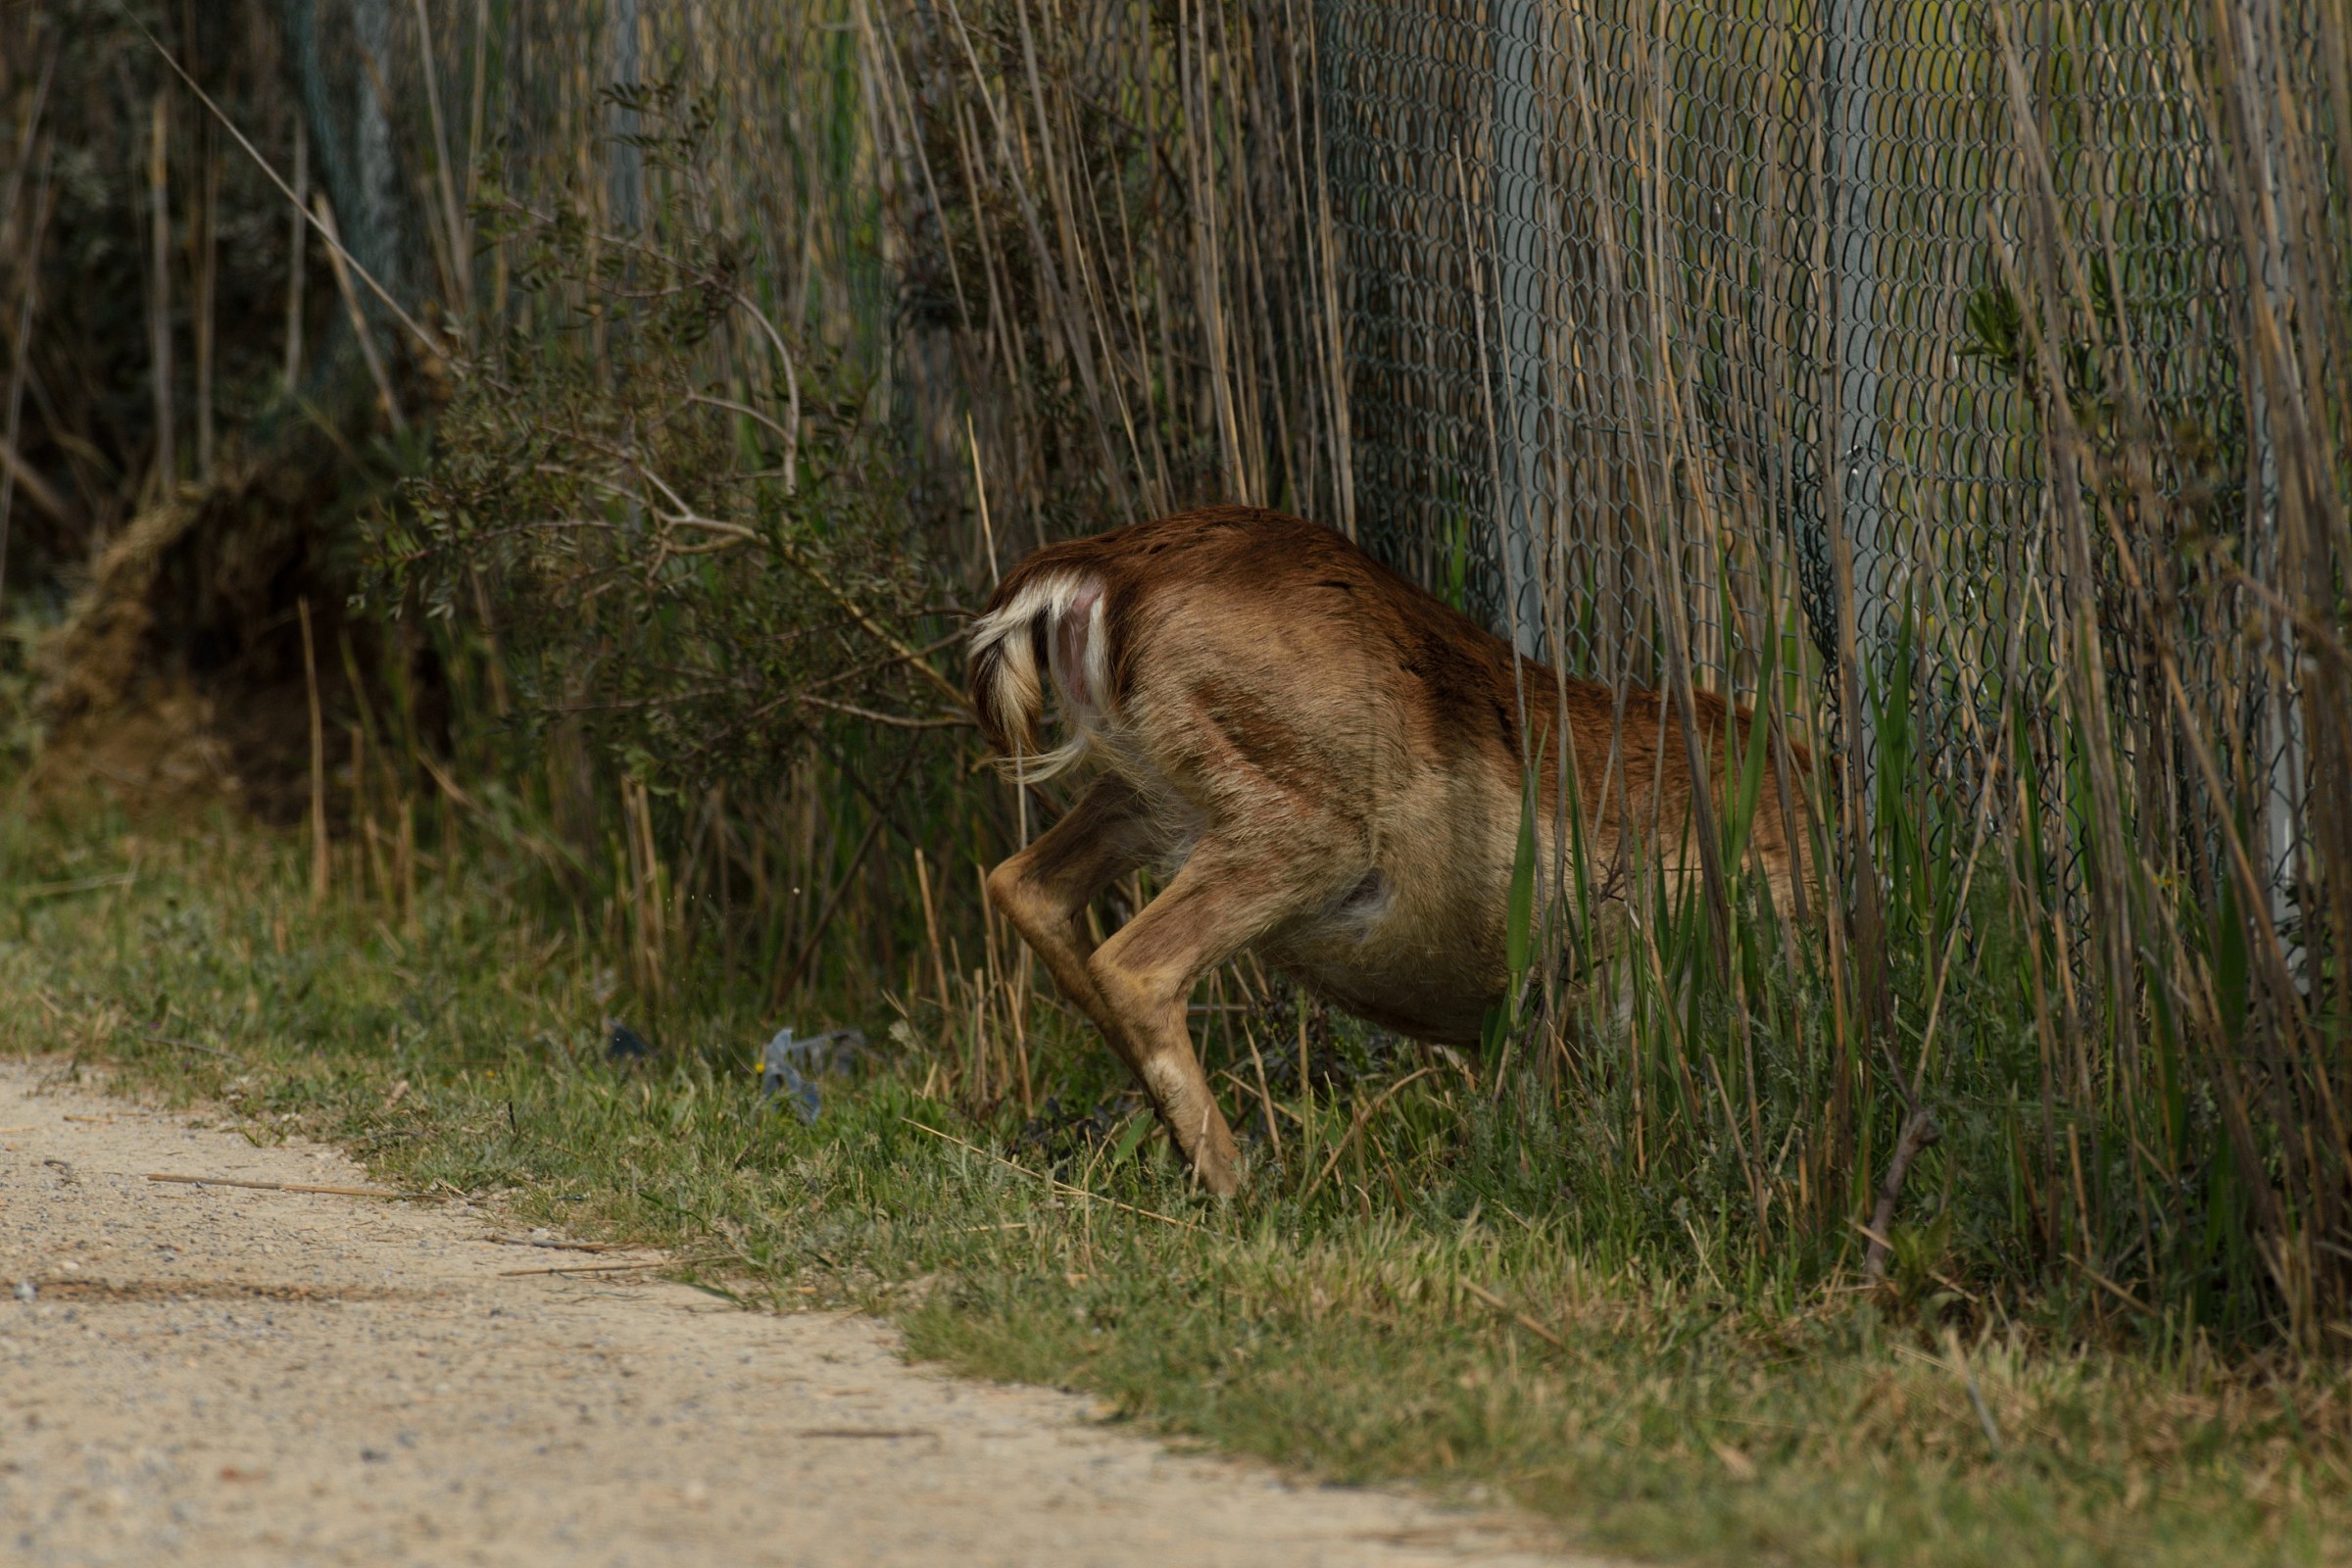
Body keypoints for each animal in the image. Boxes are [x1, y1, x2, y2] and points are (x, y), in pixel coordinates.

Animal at [968, 505, 1813, 1195]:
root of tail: (1103, 572)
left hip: (1144, 794)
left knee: (1023, 885)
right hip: (1304, 816)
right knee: (1134, 962)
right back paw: (1248, 1190)